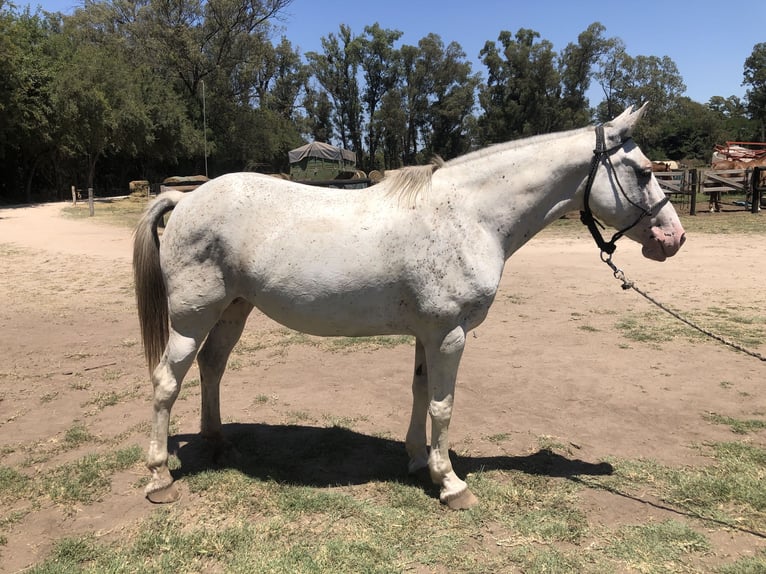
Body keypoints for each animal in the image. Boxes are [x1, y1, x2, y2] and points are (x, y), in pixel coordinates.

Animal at [134, 103, 688, 508]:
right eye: (643, 172)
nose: (674, 238)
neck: (469, 216)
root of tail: (185, 200)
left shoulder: (429, 334)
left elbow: (422, 394)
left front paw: (420, 461)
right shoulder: (450, 334)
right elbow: (444, 405)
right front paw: (452, 484)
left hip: (233, 310)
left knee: (212, 367)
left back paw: (220, 444)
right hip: (193, 318)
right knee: (167, 381)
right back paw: (160, 477)